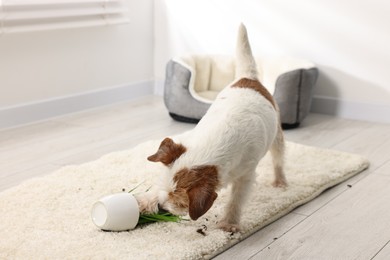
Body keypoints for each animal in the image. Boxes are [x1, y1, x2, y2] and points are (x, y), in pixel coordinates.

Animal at [136, 23, 286, 233]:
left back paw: (280, 181)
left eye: (181, 203)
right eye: (162, 186)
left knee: (278, 158)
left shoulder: (246, 175)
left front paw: (229, 223)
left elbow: (236, 199)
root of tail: (249, 78)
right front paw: (145, 201)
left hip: (277, 136)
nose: (162, 207)